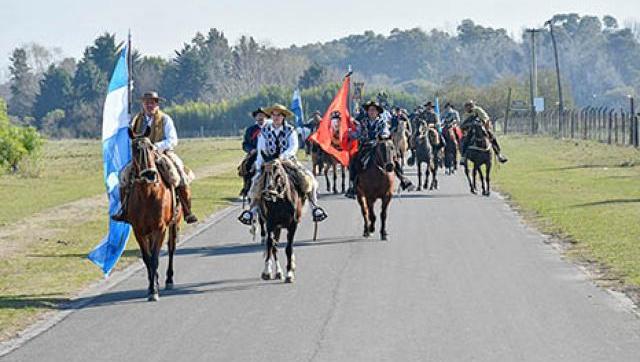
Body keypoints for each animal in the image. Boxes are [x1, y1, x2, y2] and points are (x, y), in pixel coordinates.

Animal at [126, 127, 182, 300]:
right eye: (134, 149)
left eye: (151, 148)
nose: (150, 175)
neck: (147, 194)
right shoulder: (138, 231)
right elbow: (148, 258)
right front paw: (152, 286)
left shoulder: (160, 228)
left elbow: (155, 258)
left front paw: (154, 290)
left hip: (174, 224)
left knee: (171, 248)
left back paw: (169, 279)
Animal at [258, 154, 304, 282]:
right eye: (262, 168)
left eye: (277, 168)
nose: (267, 192)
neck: (280, 200)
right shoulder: (270, 224)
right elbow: (270, 244)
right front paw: (267, 272)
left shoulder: (293, 225)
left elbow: (289, 248)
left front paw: (289, 273)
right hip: (276, 227)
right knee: (274, 246)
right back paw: (278, 272)